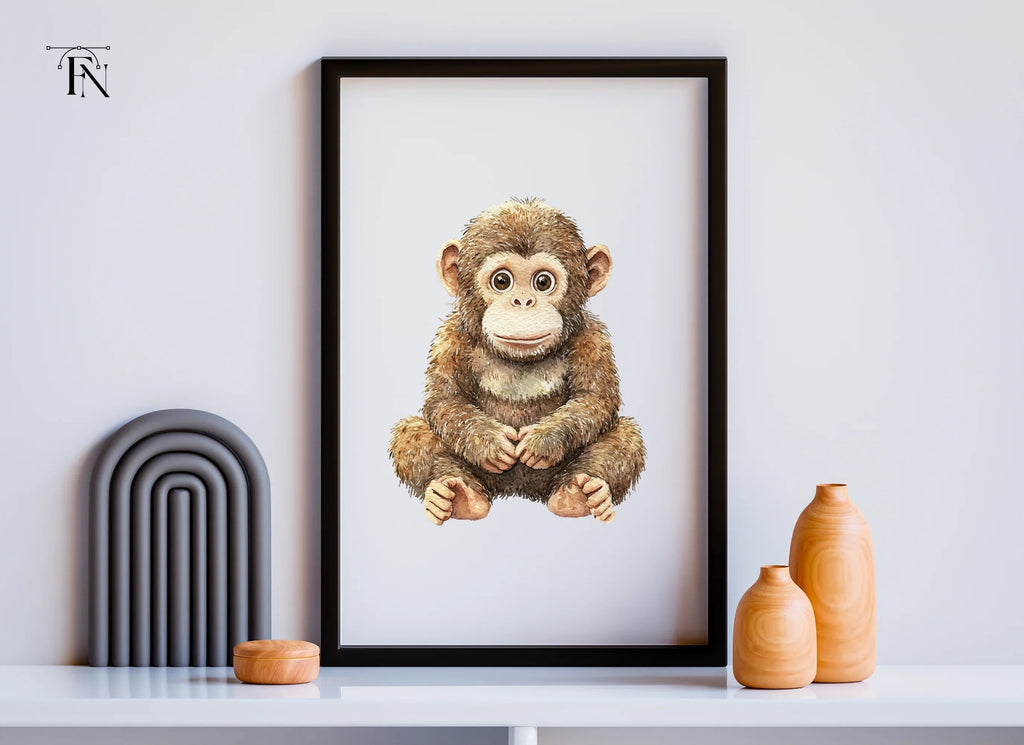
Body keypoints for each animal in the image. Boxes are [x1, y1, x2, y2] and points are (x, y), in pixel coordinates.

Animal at [388, 198, 645, 525]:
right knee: (409, 432)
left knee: (627, 436)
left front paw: (544, 440)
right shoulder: (450, 338)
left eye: (543, 282)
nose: (523, 302)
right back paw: (456, 495)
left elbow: (596, 400)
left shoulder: (592, 339)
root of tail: (519, 491)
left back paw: (580, 494)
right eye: (502, 281)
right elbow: (444, 401)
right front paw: (488, 442)